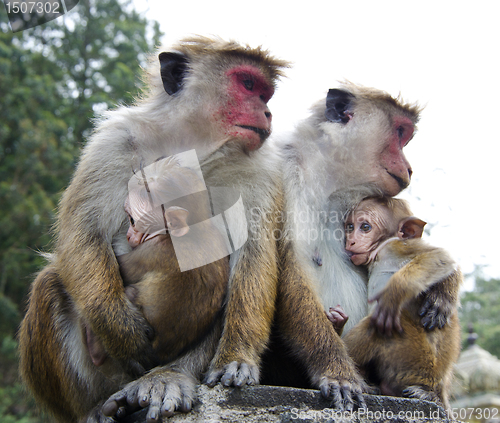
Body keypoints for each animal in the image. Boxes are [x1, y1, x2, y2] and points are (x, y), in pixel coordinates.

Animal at [328, 198, 460, 410]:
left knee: (375, 325)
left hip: (413, 358)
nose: (351, 241)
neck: (377, 254)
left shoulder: (396, 246)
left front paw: (393, 294)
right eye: (350, 227)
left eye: (365, 227)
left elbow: (441, 257)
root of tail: (437, 387)